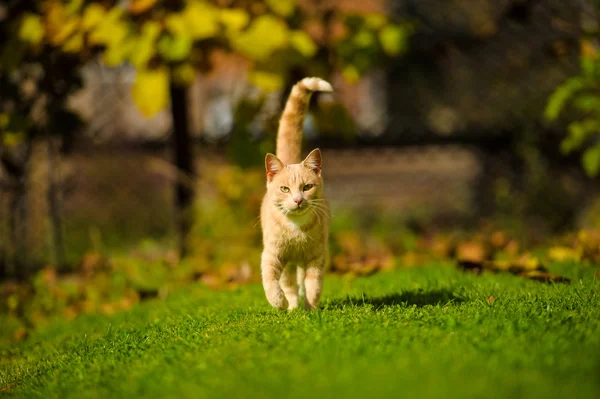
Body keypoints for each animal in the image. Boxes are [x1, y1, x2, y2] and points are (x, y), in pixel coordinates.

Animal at [258, 76, 332, 310]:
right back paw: (291, 307)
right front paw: (280, 302)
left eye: (307, 187)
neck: (297, 229)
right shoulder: (272, 256)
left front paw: (312, 307)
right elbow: (271, 282)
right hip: (288, 264)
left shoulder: (317, 257)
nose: (298, 200)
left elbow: (313, 284)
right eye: (285, 189)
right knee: (289, 283)